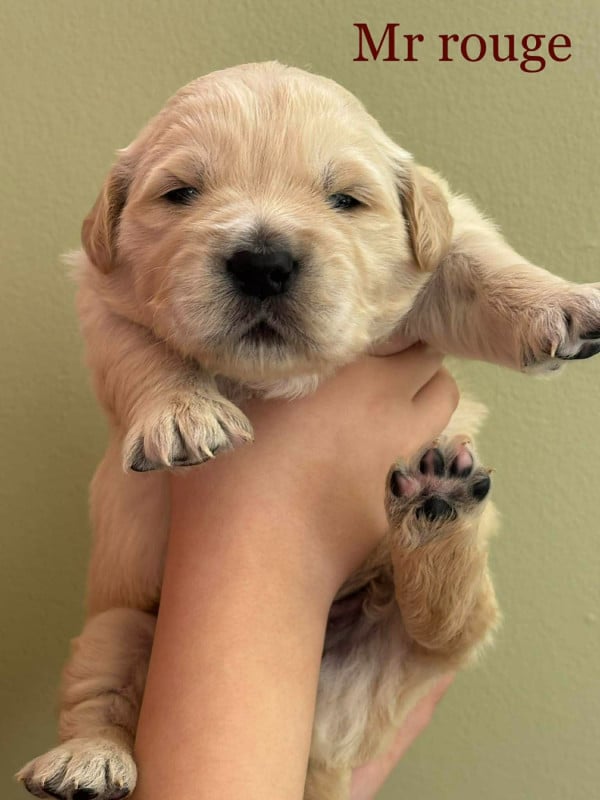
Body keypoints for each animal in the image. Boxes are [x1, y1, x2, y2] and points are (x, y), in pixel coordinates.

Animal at [17, 61, 600, 800]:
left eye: (346, 200)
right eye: (179, 193)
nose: (263, 263)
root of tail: (319, 754)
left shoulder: (439, 251)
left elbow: (478, 266)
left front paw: (562, 302)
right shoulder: (100, 294)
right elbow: (144, 355)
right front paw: (183, 414)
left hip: (408, 648)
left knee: (446, 629)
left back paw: (438, 508)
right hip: (117, 624)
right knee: (103, 695)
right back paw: (85, 760)